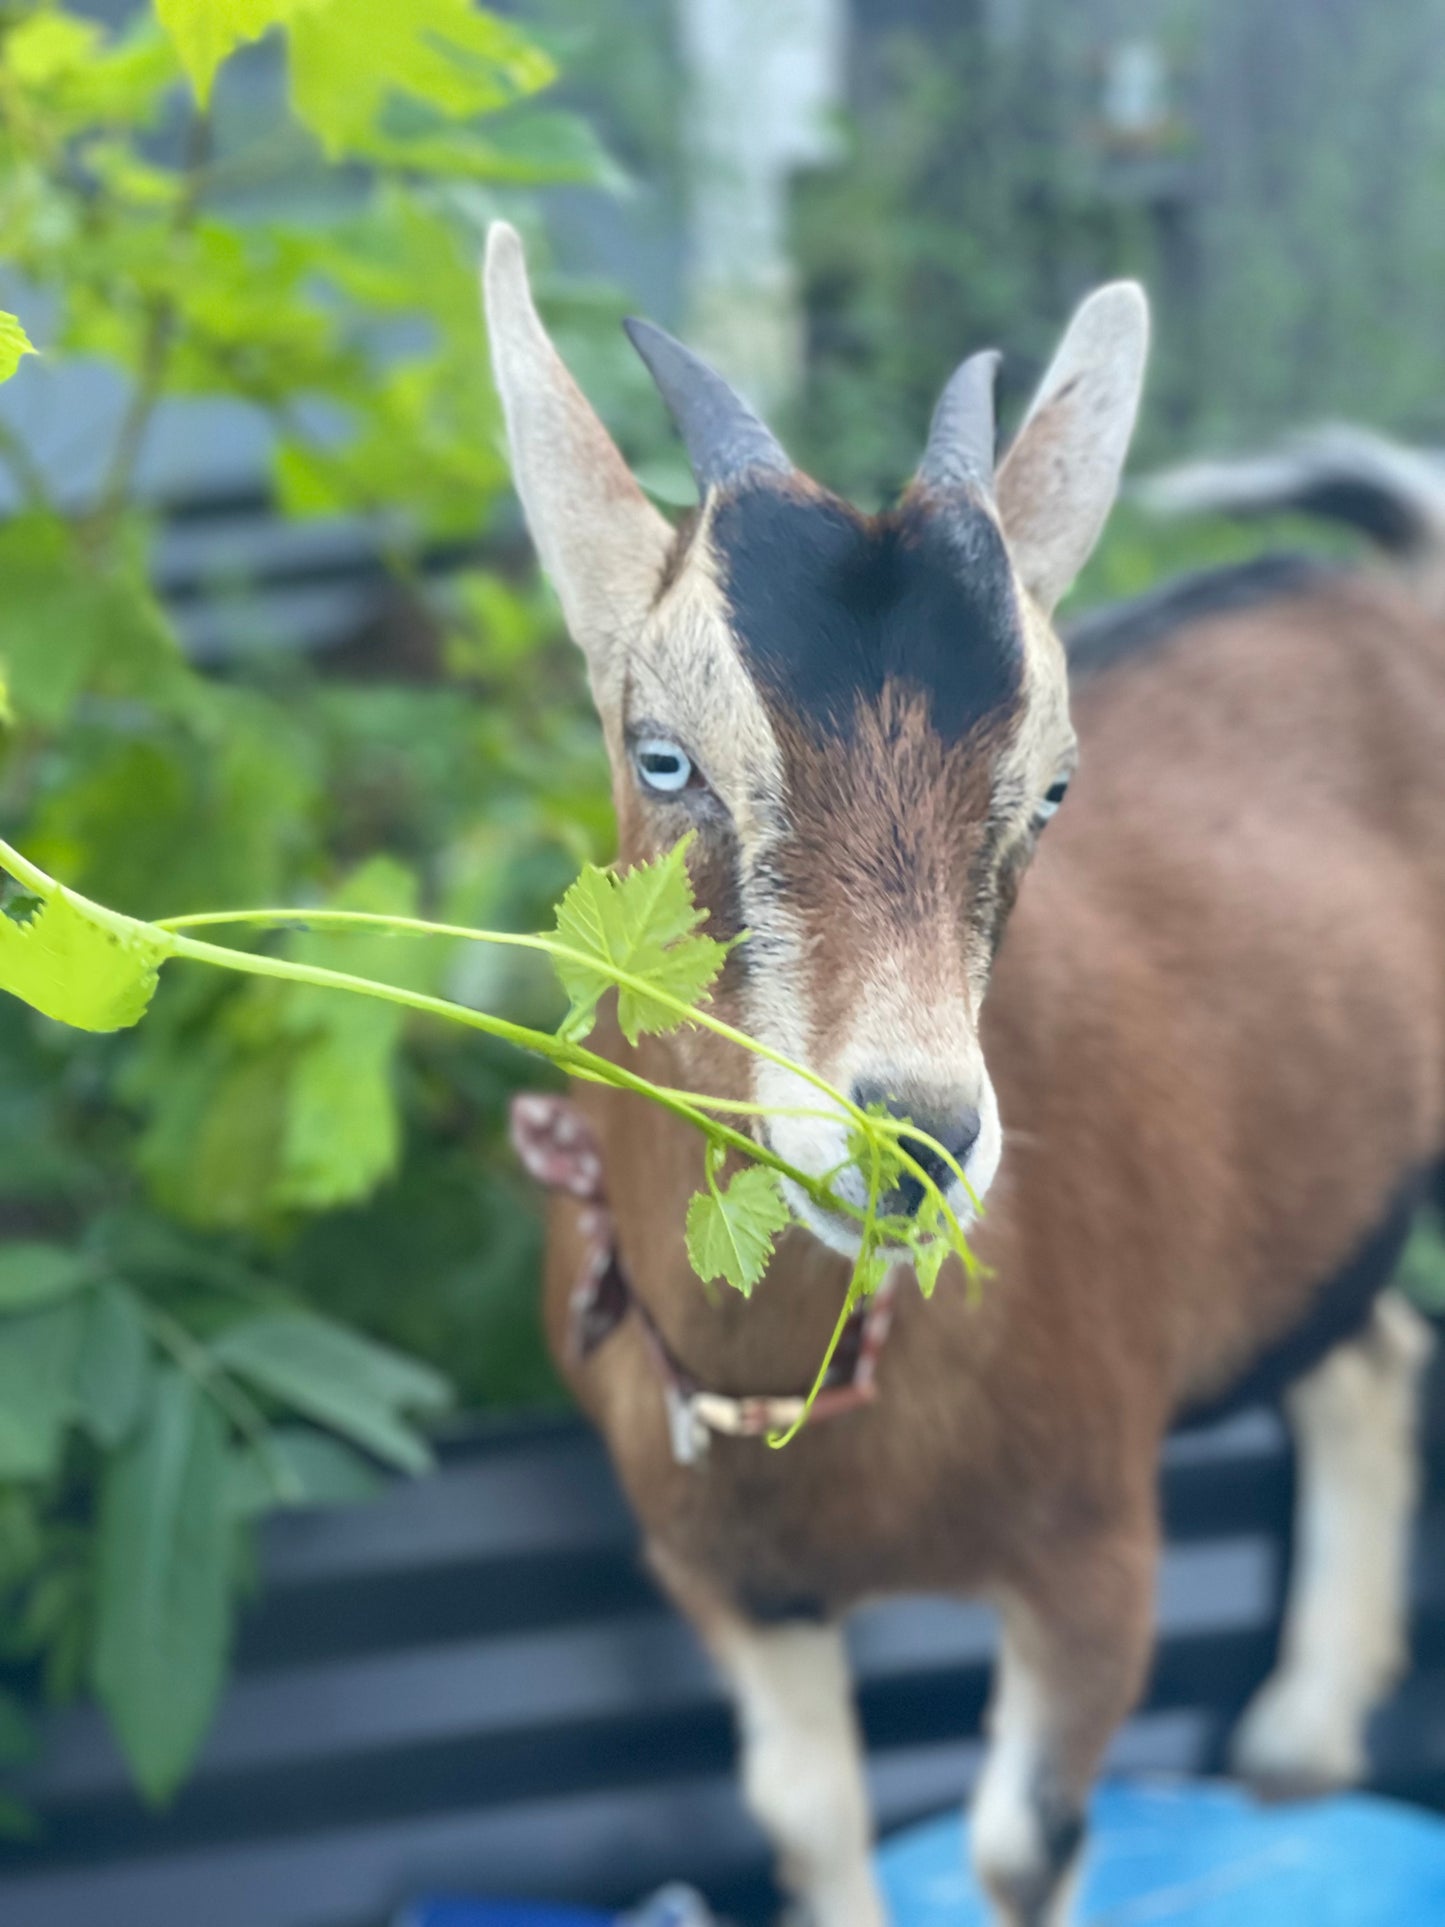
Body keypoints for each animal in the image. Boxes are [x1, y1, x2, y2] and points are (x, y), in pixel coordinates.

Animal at [483, 229, 1445, 1927]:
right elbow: (806, 1818)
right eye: (661, 757)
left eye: (1052, 787)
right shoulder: (729, 1583)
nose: (910, 1139)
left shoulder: (1092, 1551)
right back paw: (1294, 1748)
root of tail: (1399, 591)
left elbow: (1020, 1840)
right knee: (1374, 1345)